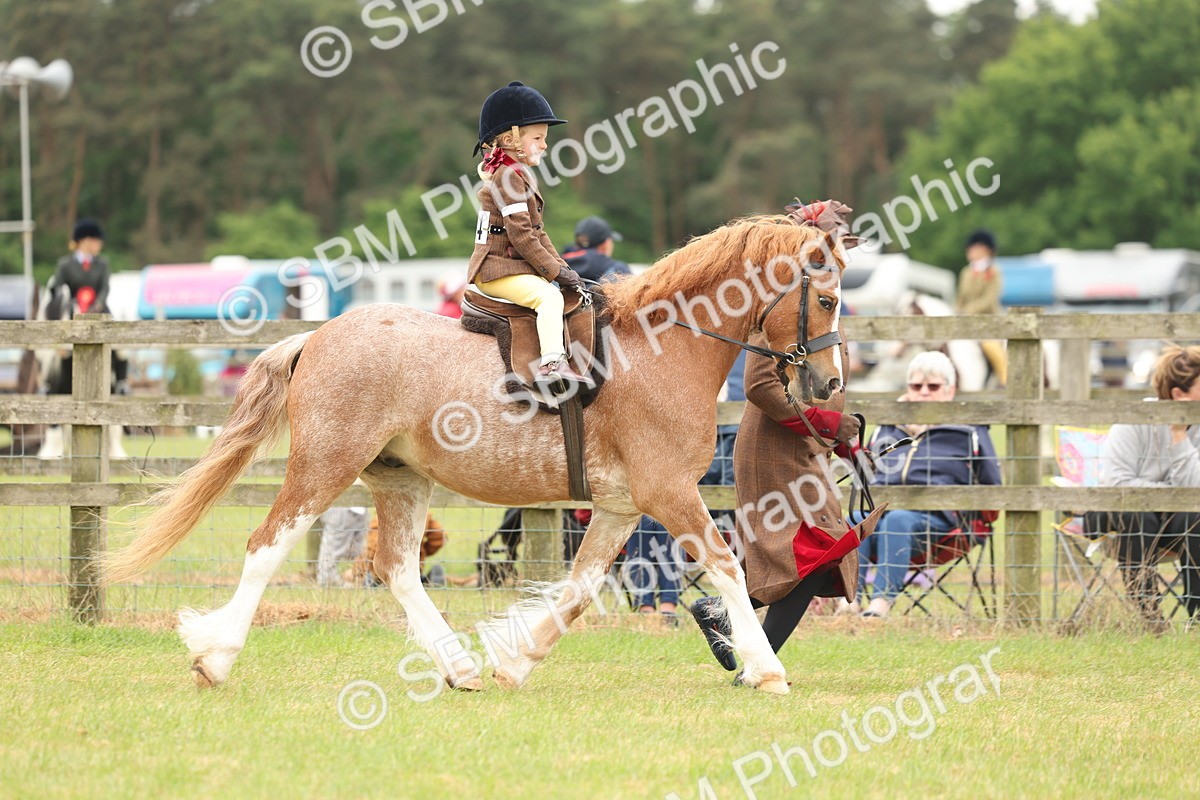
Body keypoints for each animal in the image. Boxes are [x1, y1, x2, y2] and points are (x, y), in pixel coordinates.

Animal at [101, 214, 850, 695]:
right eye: (827, 298)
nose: (830, 384)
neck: (660, 348)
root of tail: (317, 335)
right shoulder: (669, 493)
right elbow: (726, 568)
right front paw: (766, 669)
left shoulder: (619, 506)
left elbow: (578, 588)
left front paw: (515, 660)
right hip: (324, 467)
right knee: (267, 546)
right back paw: (215, 658)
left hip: (399, 481)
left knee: (398, 569)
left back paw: (458, 667)